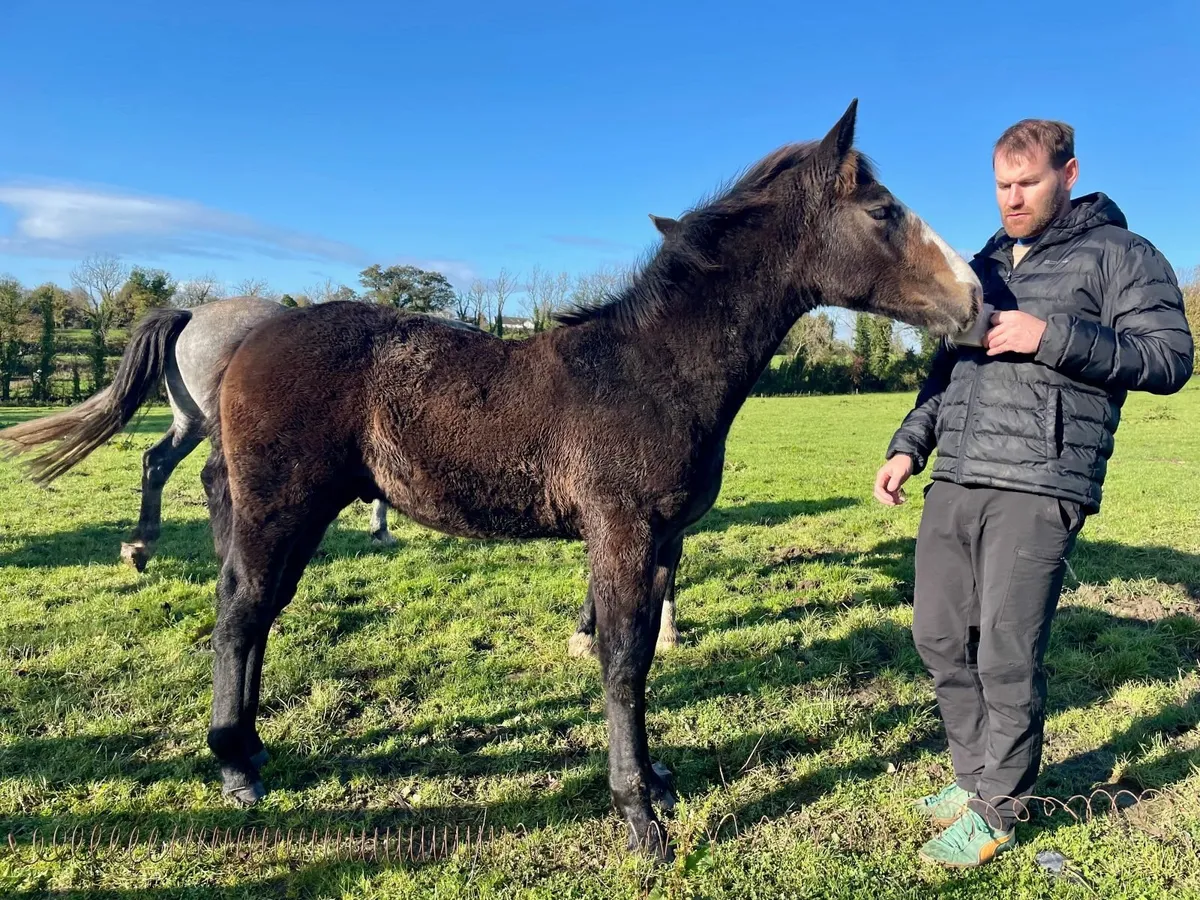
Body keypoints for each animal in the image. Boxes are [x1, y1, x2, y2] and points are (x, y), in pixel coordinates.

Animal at [0, 295, 399, 571]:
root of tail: (190, 314)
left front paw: (379, 530)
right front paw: (380, 529)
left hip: (190, 422)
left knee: (156, 463)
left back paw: (140, 546)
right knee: (213, 478)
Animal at [201, 100, 981, 861]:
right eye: (882, 210)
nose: (973, 299)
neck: (650, 370)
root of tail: (250, 340)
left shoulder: (663, 540)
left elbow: (644, 654)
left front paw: (658, 781)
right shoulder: (621, 531)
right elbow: (622, 661)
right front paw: (641, 817)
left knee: (263, 609)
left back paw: (255, 749)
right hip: (281, 504)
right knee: (242, 607)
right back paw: (235, 765)